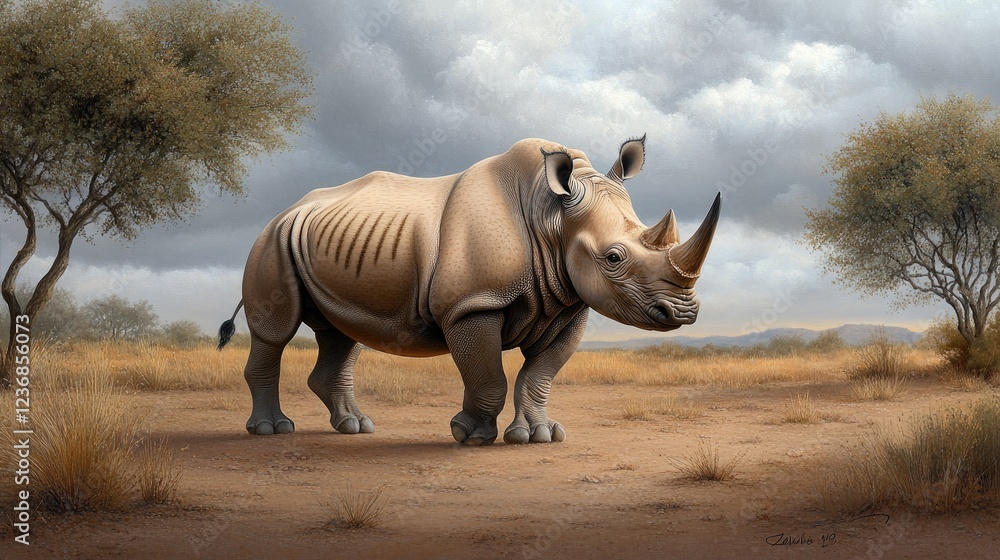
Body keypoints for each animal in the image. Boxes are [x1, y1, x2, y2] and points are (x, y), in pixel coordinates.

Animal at [218, 136, 720, 445]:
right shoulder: (471, 304)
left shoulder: (568, 304)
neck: (551, 217)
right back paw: (273, 430)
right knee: (276, 333)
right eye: (613, 258)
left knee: (343, 334)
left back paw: (356, 427)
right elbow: (488, 376)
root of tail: (285, 210)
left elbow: (540, 376)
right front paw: (469, 435)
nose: (683, 313)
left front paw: (538, 437)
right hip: (271, 240)